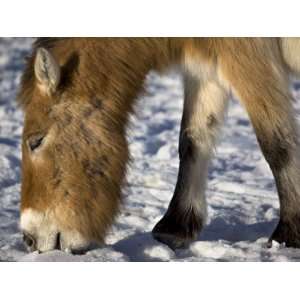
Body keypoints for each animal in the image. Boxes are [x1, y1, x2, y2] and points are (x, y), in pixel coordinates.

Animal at [17, 37, 300, 253]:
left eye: (36, 141)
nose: (29, 239)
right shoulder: (205, 69)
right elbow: (192, 140)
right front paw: (177, 225)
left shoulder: (249, 57)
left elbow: (277, 145)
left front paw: (288, 233)